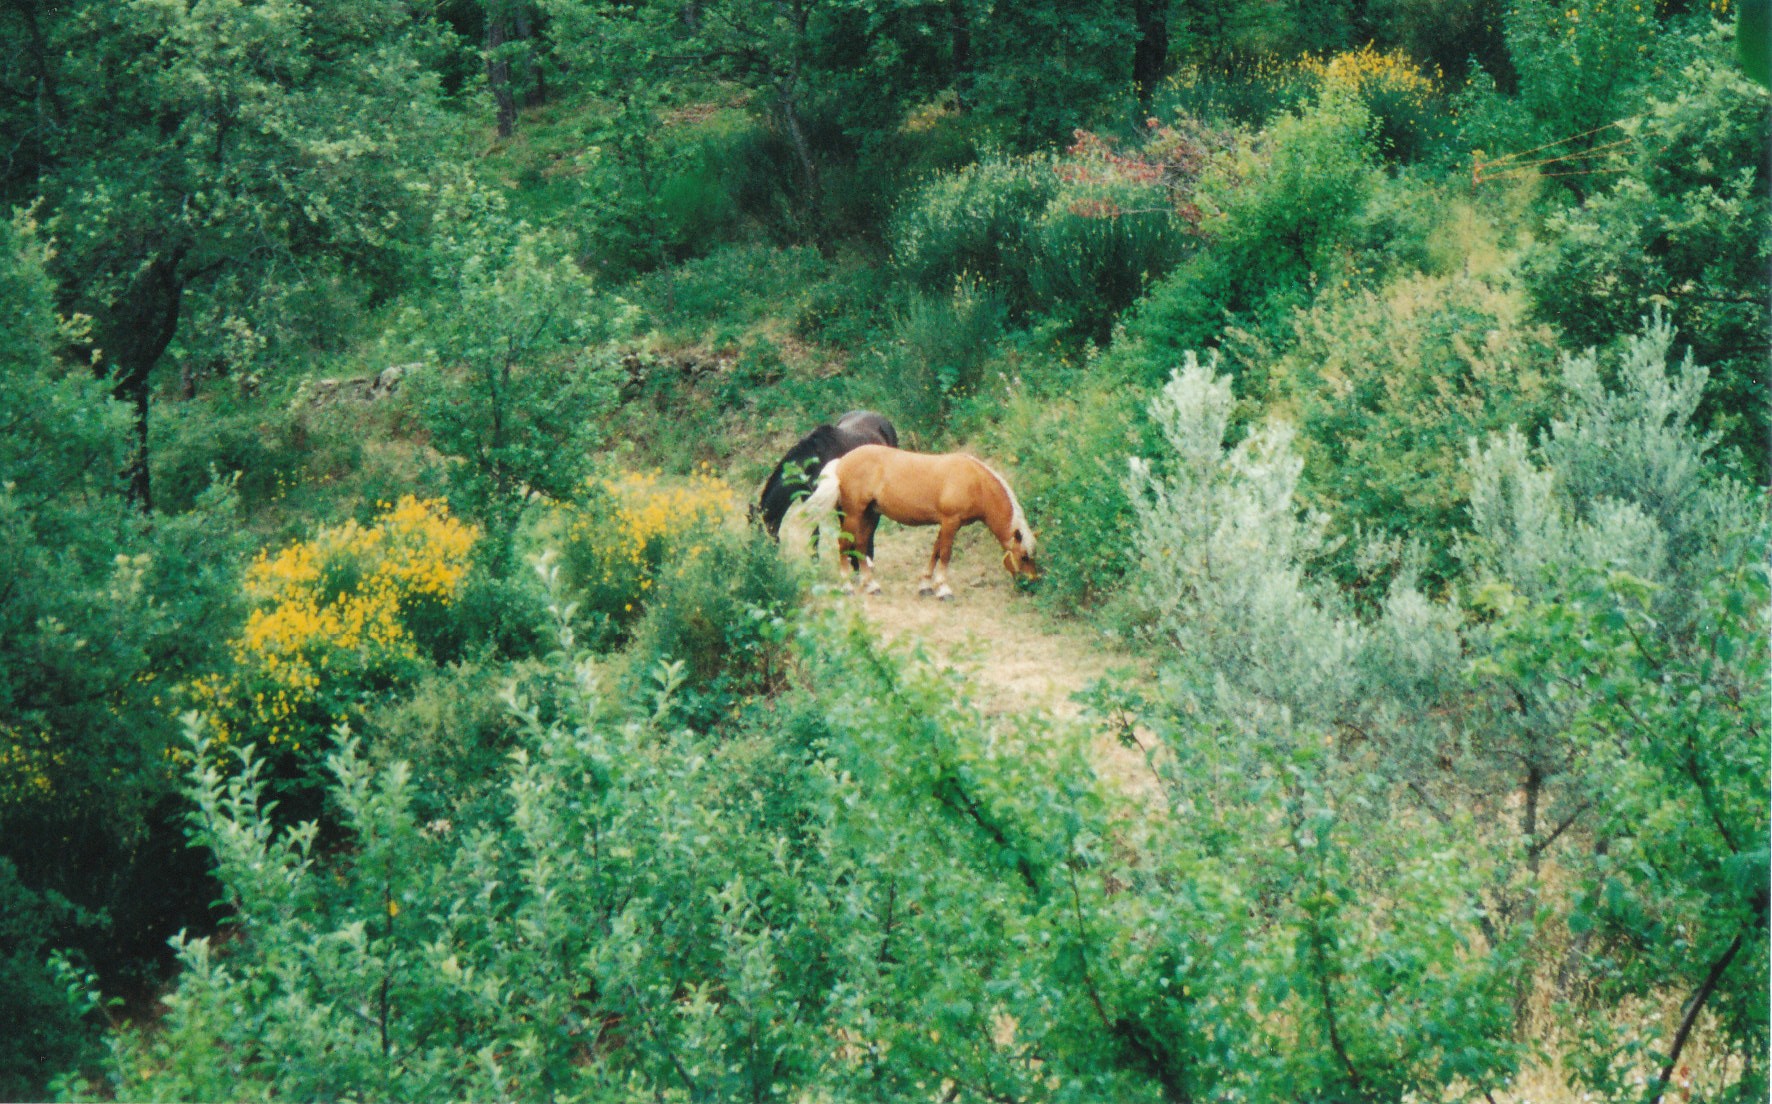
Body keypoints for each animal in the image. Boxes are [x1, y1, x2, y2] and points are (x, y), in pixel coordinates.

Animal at [791, 443, 1038, 600]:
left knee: (860, 545)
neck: (975, 483)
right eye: (1024, 556)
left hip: (870, 515)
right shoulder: (951, 522)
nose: (1032, 582)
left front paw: (926, 585)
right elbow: (945, 554)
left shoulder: (946, 524)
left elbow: (935, 552)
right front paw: (943, 589)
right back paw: (847, 587)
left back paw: (871, 585)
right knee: (844, 545)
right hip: (853, 515)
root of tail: (841, 461)